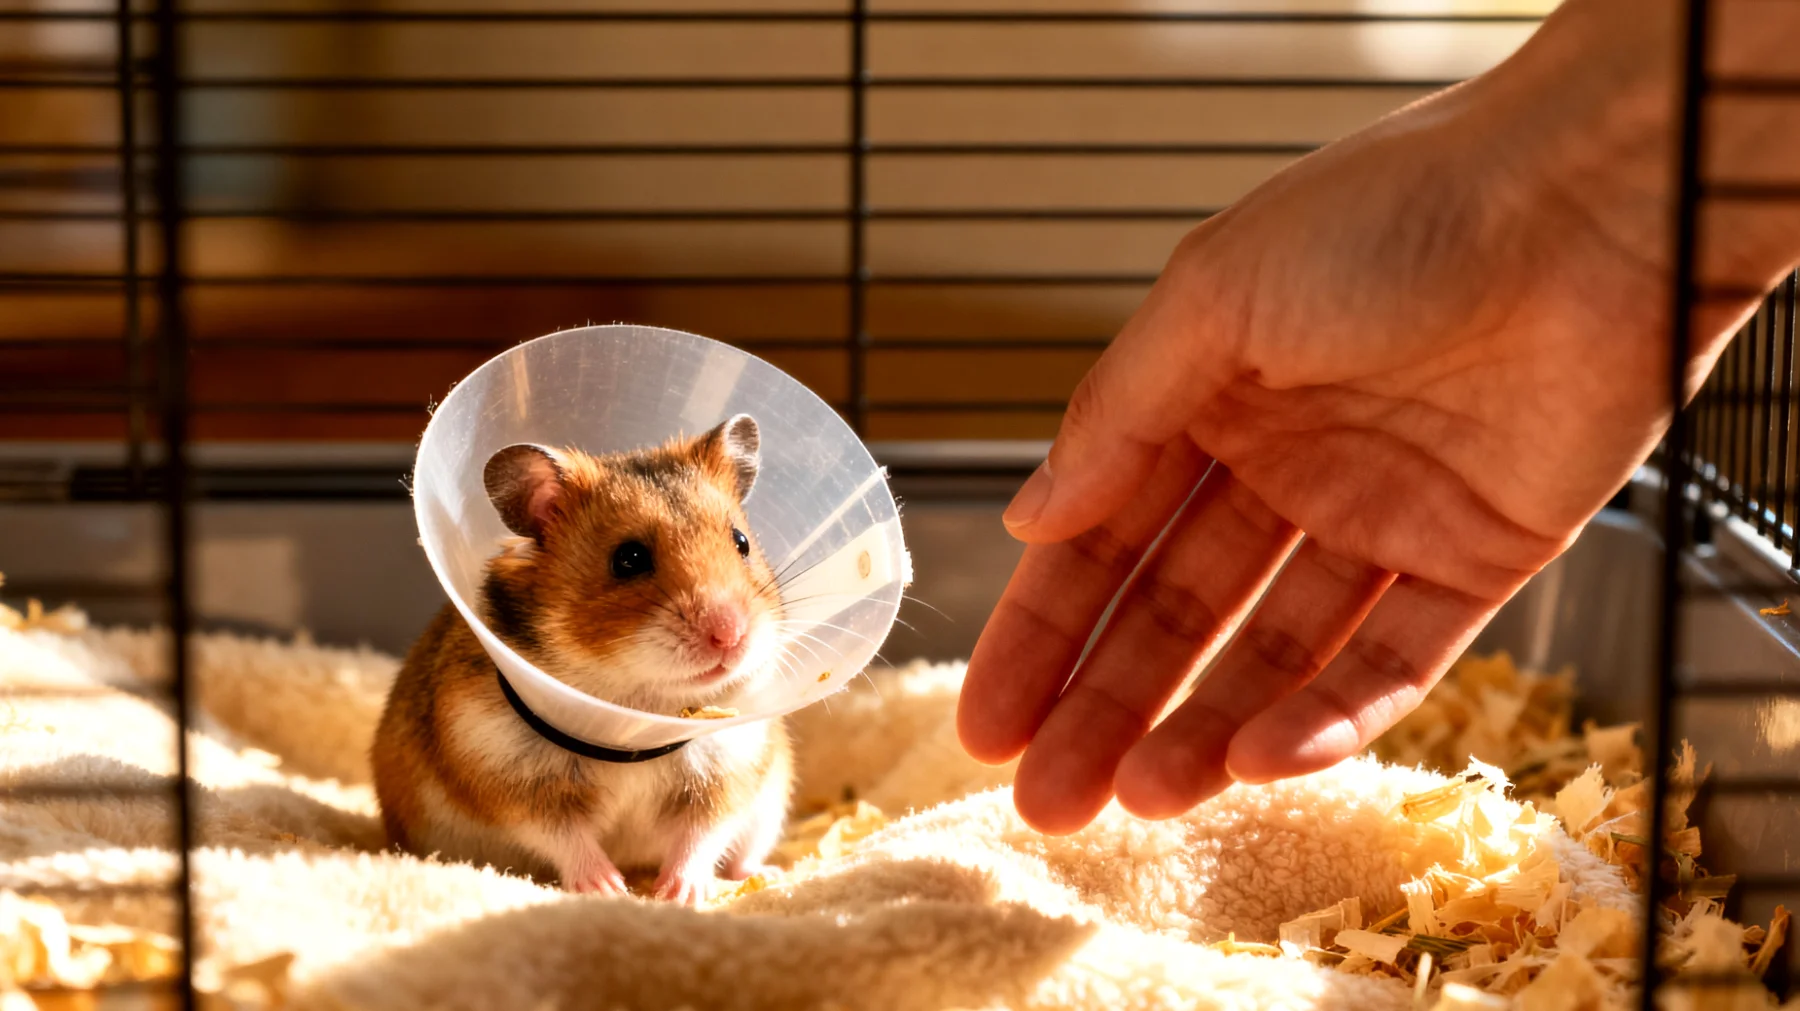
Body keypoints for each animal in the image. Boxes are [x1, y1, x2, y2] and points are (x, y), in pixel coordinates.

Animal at [371, 414, 794, 904]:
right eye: (629, 558)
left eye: (741, 542)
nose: (730, 635)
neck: (636, 718)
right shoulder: (511, 781)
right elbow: (565, 837)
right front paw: (610, 889)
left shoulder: (728, 772)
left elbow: (701, 834)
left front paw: (679, 894)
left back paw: (766, 875)